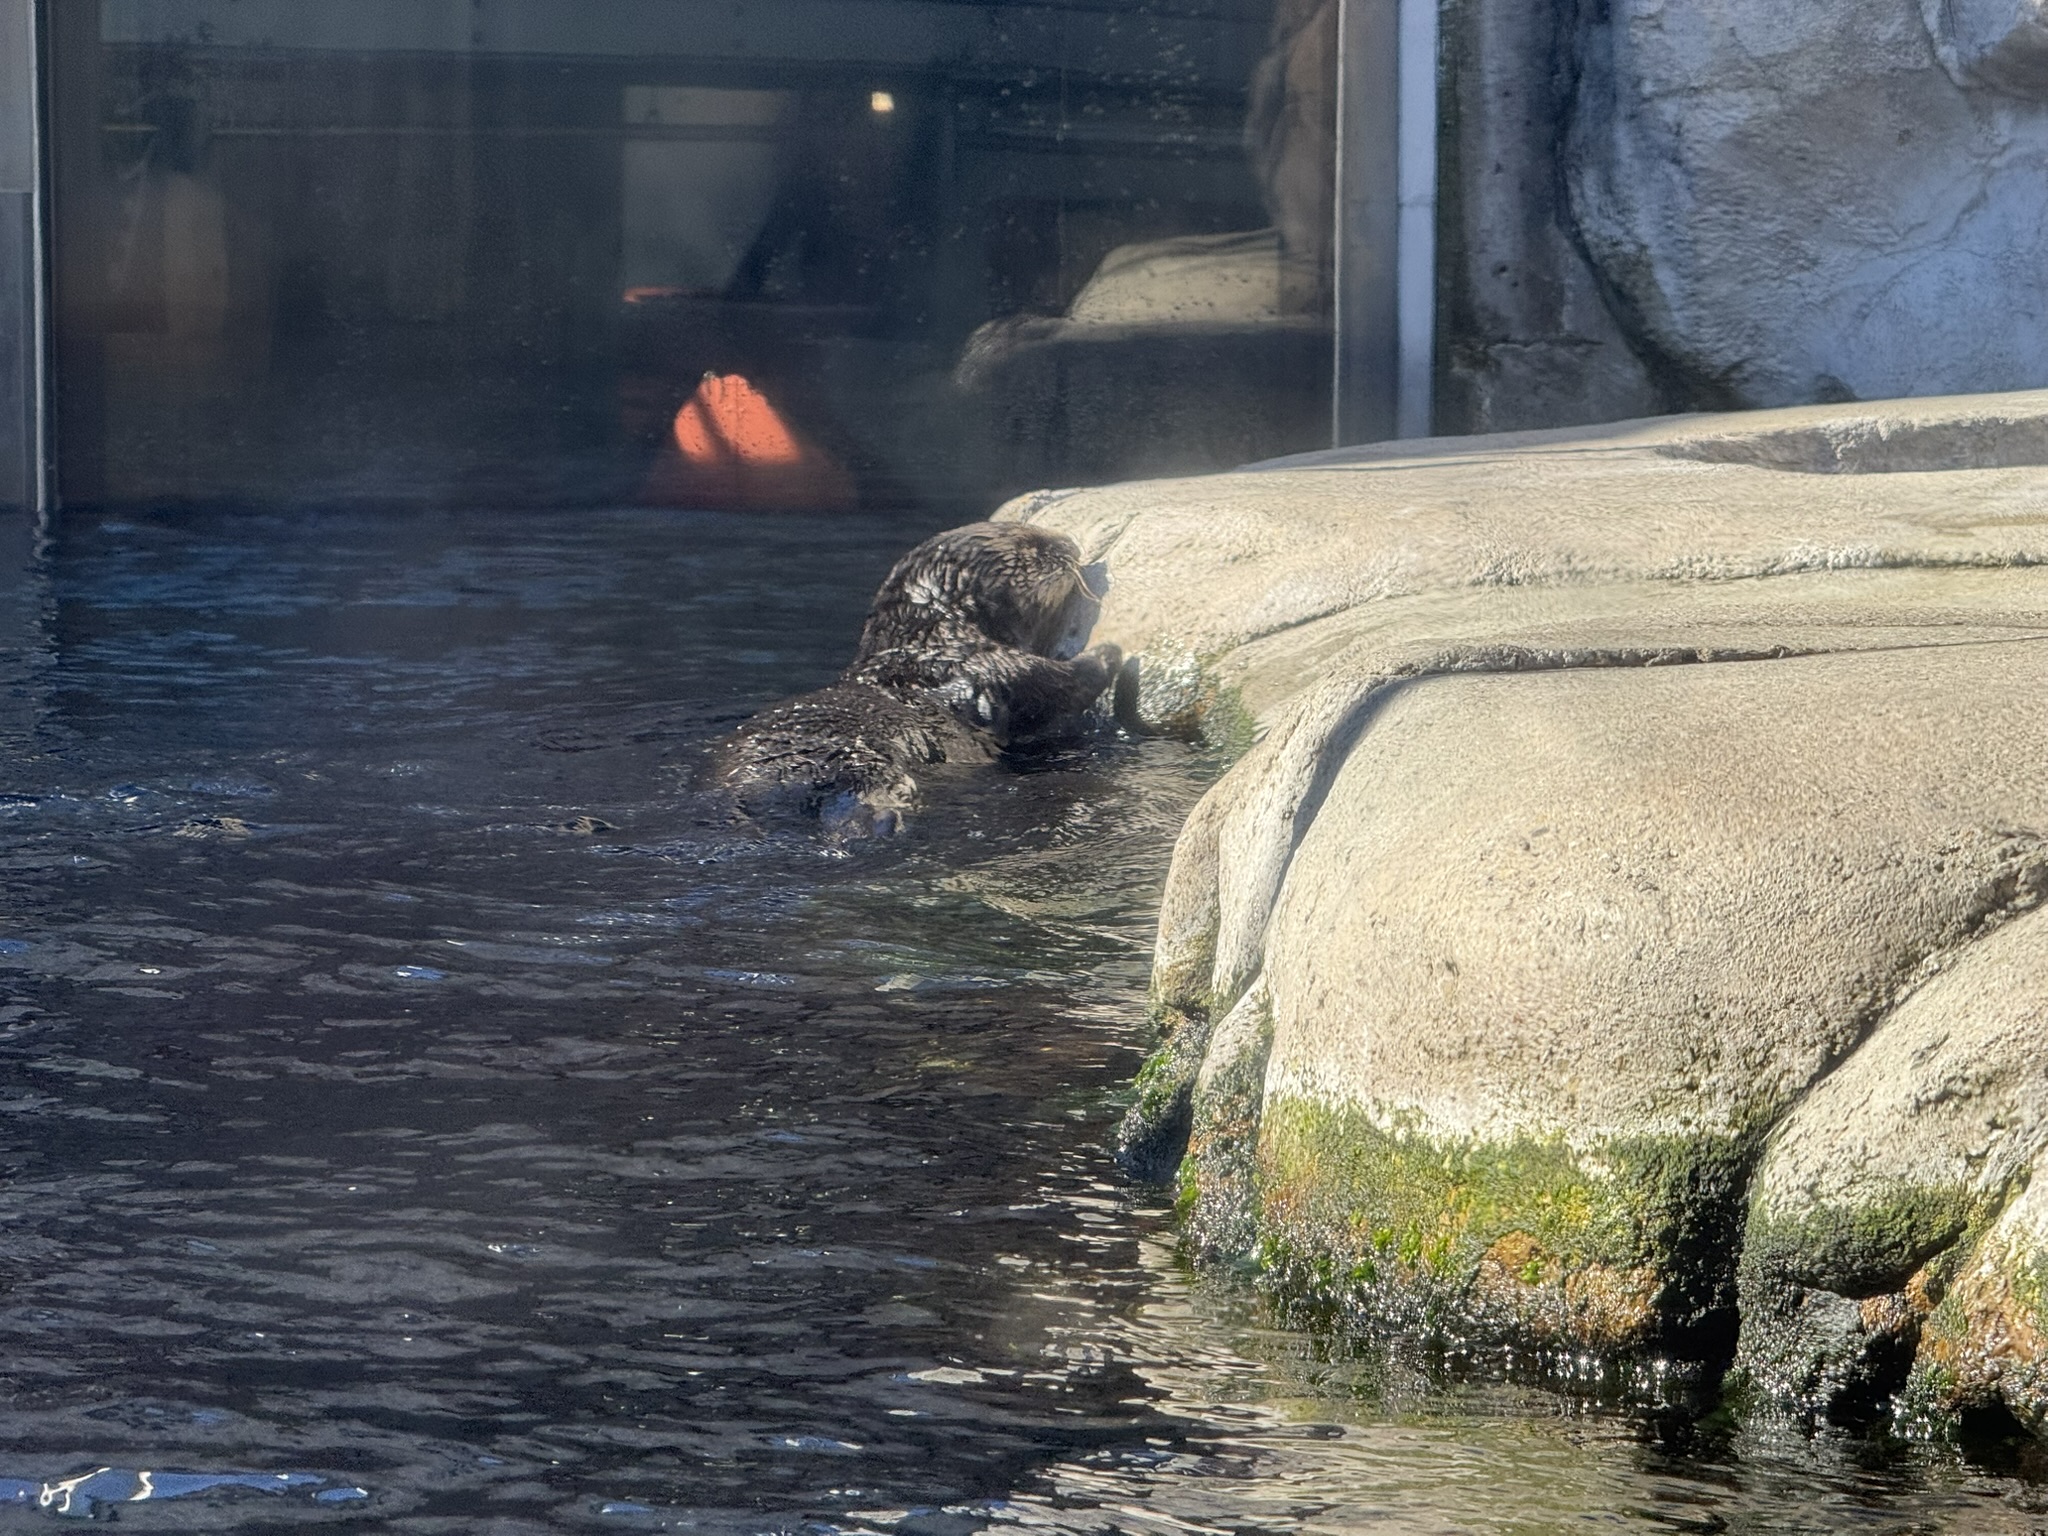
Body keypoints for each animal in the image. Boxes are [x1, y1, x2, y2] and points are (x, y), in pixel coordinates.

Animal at [700, 524, 1122, 835]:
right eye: (1031, 546)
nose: (1069, 543)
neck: (930, 634)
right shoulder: (975, 664)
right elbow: (1048, 685)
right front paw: (1109, 653)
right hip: (851, 759)